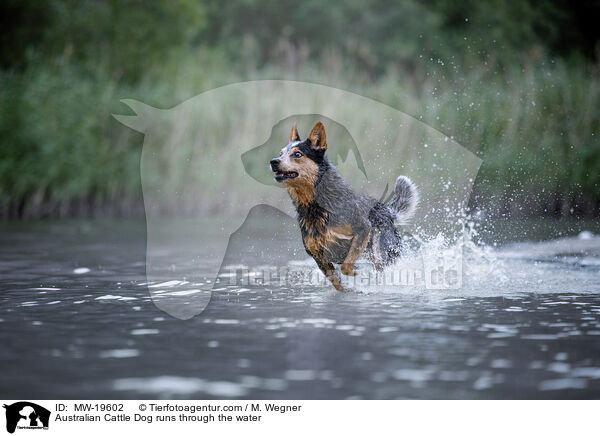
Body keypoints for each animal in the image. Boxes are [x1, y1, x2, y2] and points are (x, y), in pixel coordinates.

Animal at [270, 122, 418, 292]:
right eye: (281, 153)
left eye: (297, 154)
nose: (273, 161)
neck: (315, 207)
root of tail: (386, 210)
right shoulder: (317, 255)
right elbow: (336, 281)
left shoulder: (363, 230)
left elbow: (346, 266)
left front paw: (356, 274)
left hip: (382, 250)